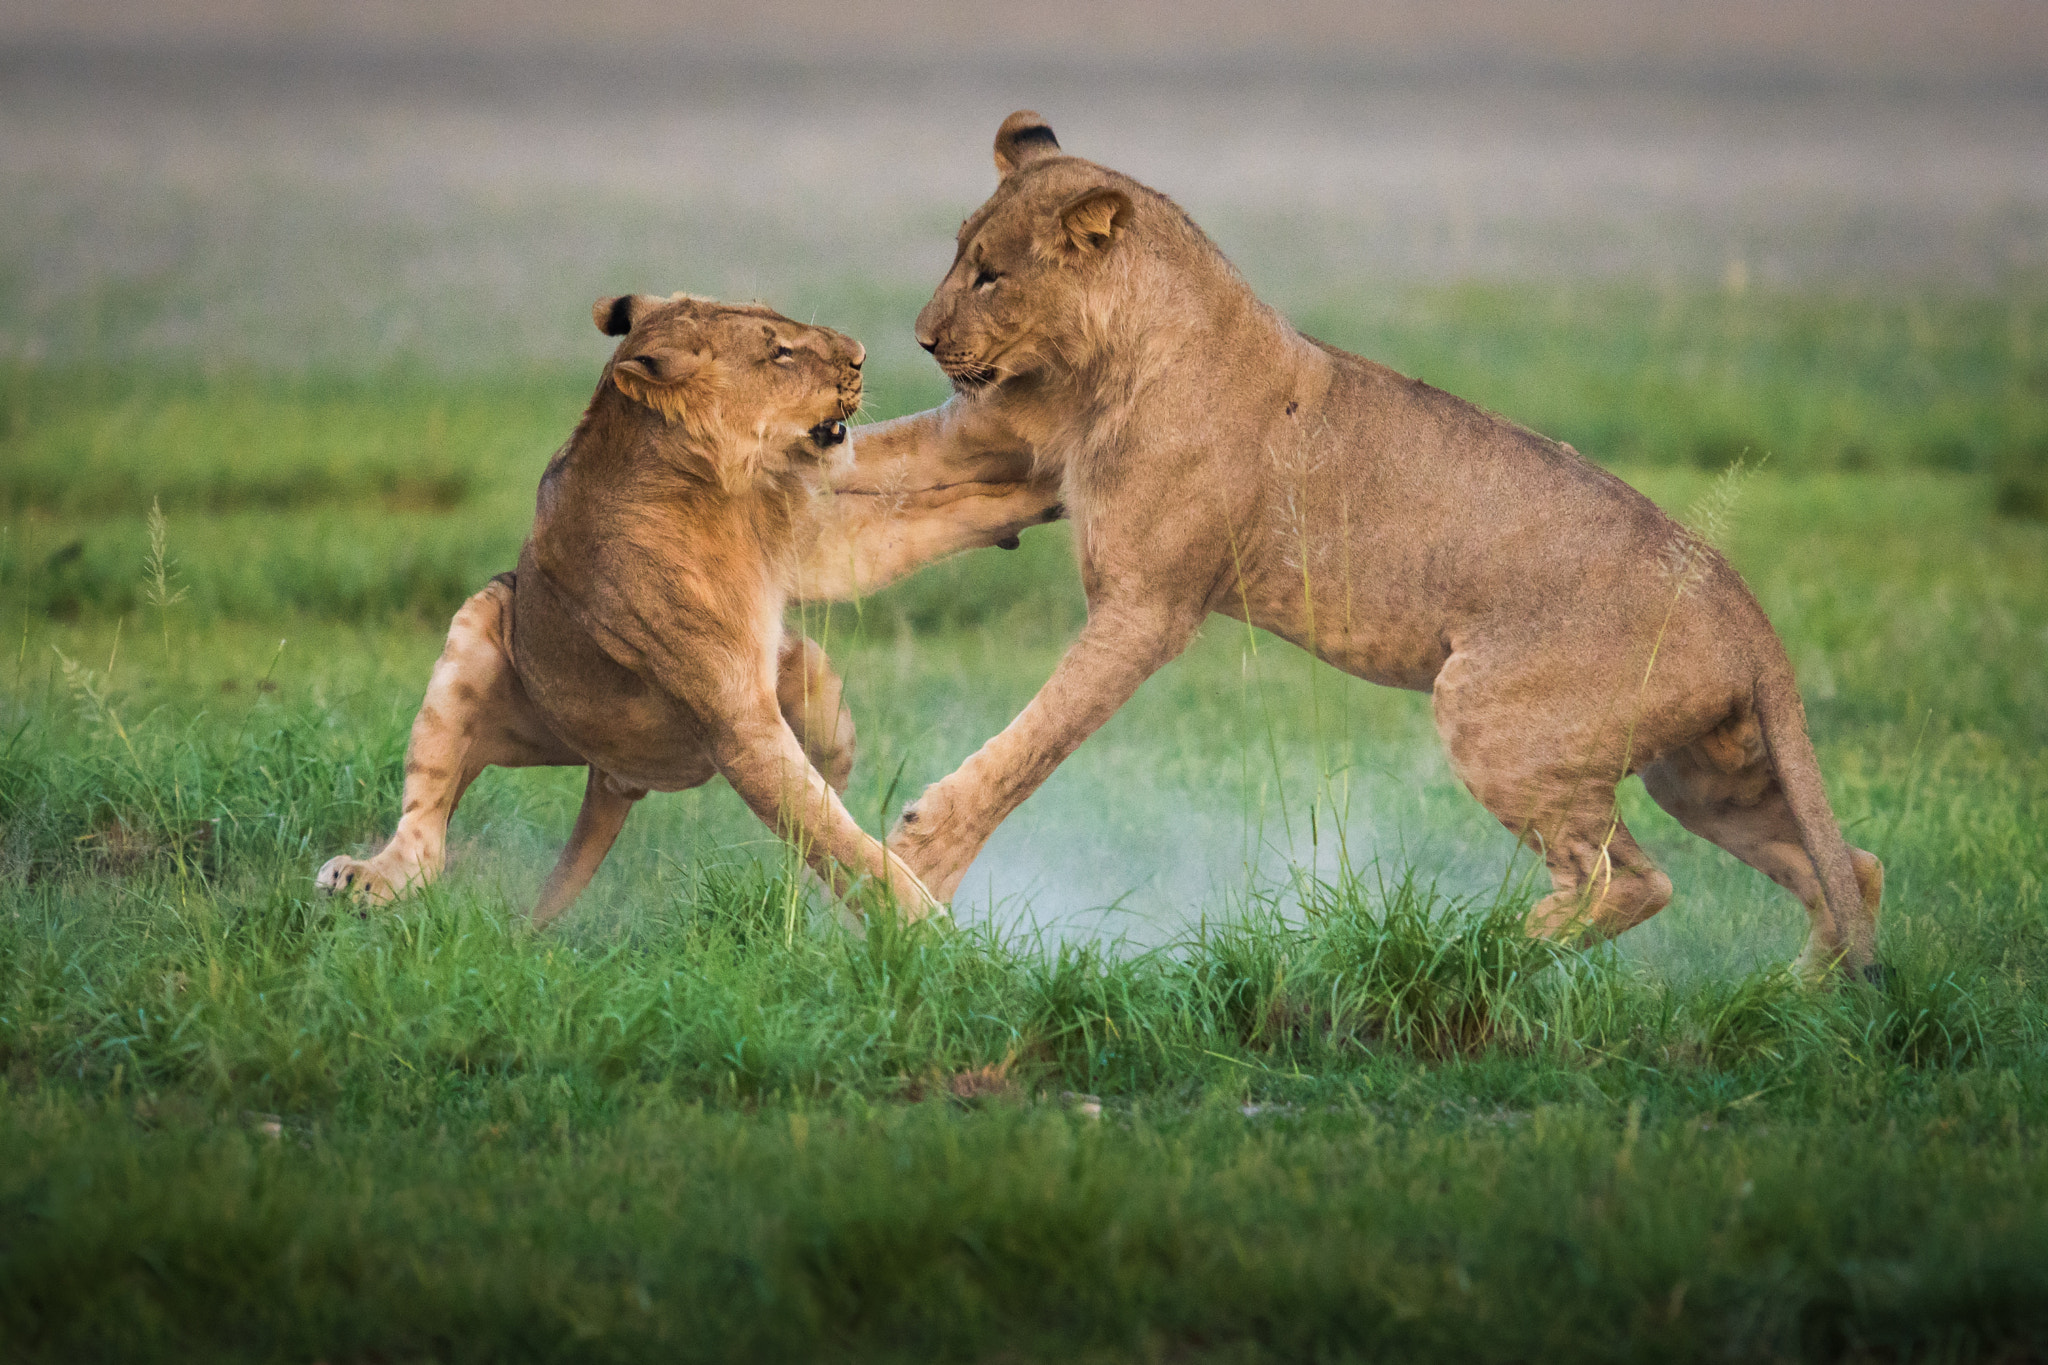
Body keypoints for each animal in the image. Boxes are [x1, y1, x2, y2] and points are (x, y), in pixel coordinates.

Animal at [319, 292, 1064, 925]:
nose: (859, 353)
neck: (713, 493)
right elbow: (838, 840)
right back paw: (361, 877)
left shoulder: (811, 539)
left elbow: (936, 516)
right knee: (426, 835)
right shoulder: (737, 722)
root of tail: (612, 778)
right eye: (779, 353)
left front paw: (1049, 485)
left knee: (818, 707)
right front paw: (929, 930)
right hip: (484, 625)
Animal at [864, 112, 1884, 978]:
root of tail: (1742, 603)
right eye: (958, 255)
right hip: (1703, 772)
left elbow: (1034, 744)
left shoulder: (1148, 607)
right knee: (1849, 869)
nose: (920, 339)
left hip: (1496, 715)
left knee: (1628, 879)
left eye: (991, 274)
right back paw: (1789, 1004)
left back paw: (1464, 954)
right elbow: (863, 472)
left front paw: (923, 857)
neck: (1097, 363)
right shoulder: (996, 446)